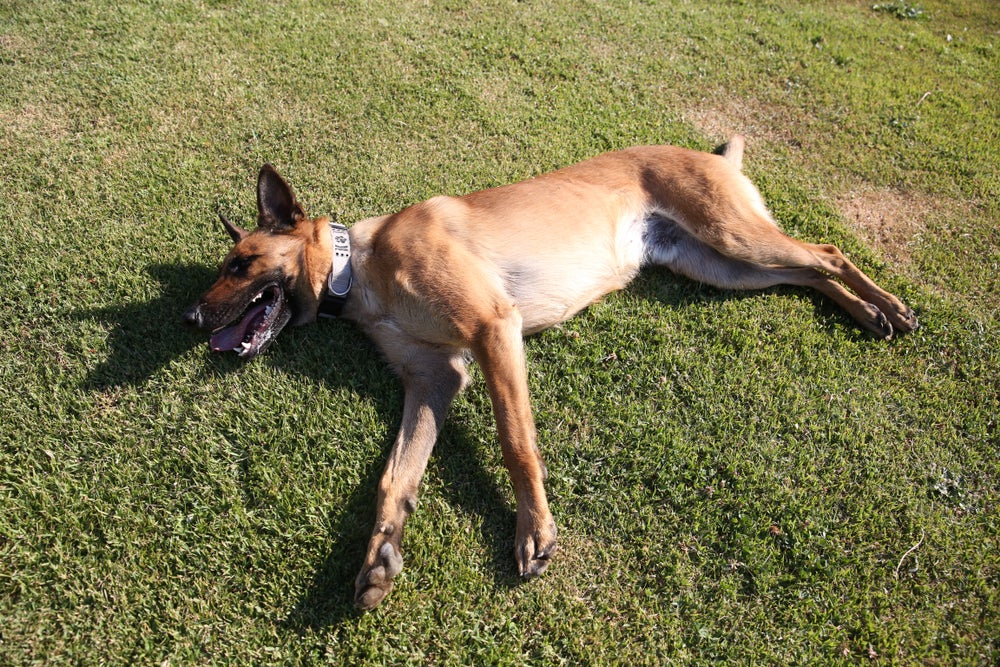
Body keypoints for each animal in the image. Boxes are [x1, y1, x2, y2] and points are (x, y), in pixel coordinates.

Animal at [184, 138, 916, 612]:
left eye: (241, 264)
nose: (191, 317)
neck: (357, 266)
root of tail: (712, 154)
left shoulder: (493, 330)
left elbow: (516, 441)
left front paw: (533, 529)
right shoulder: (433, 381)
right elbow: (396, 477)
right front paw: (380, 555)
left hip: (733, 237)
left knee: (827, 251)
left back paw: (889, 306)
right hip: (722, 267)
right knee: (807, 271)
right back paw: (868, 313)